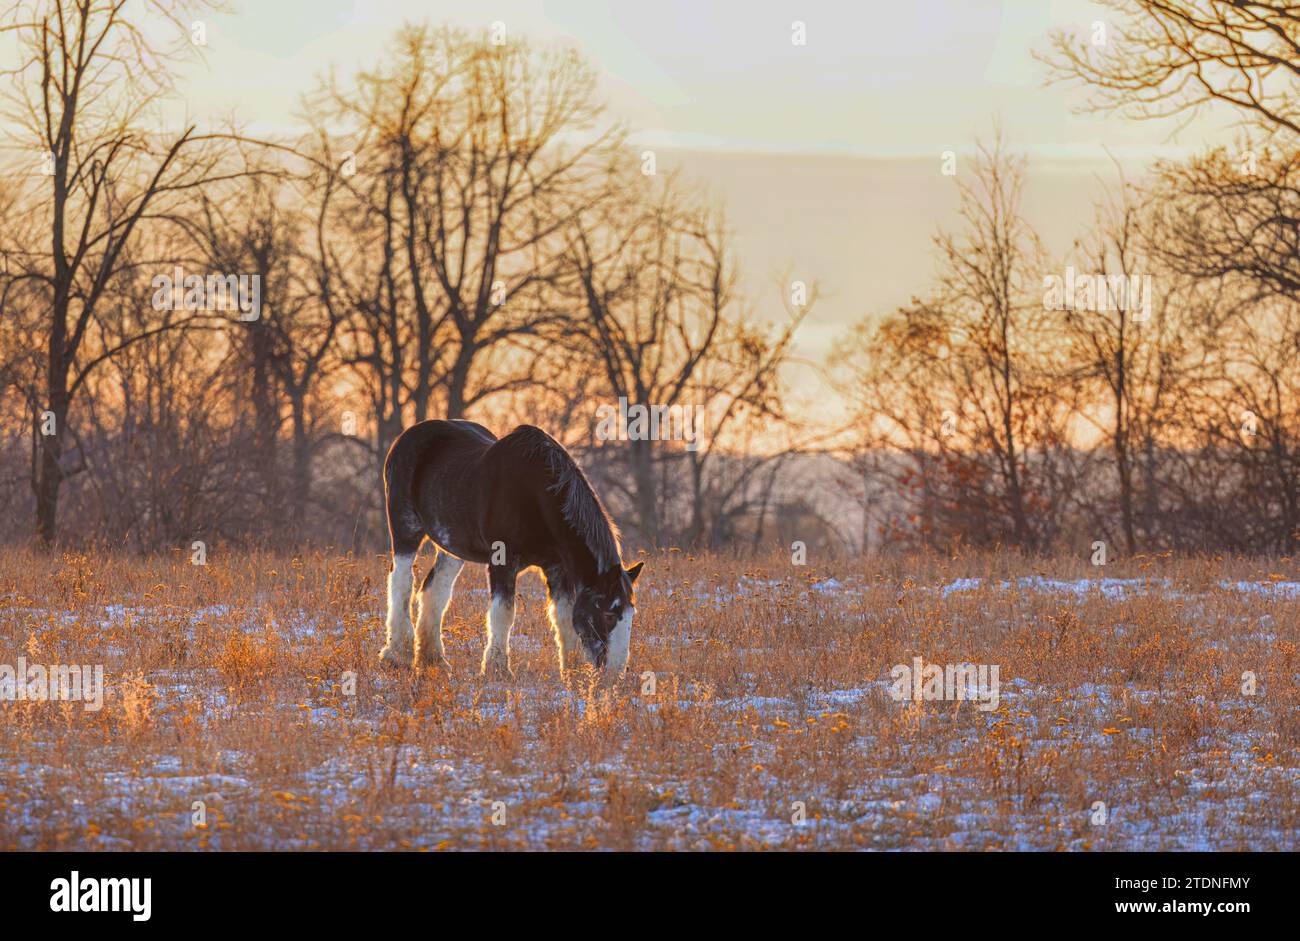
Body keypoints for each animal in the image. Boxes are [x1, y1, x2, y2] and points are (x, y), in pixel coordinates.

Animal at [374, 423, 642, 681]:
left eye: (631, 613)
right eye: (609, 614)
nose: (616, 673)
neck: (534, 493)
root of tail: (406, 437)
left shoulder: (557, 567)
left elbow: (564, 615)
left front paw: (571, 672)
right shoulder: (502, 561)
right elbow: (503, 612)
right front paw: (497, 670)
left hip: (452, 548)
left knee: (435, 590)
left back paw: (434, 661)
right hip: (405, 529)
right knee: (401, 581)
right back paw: (396, 654)